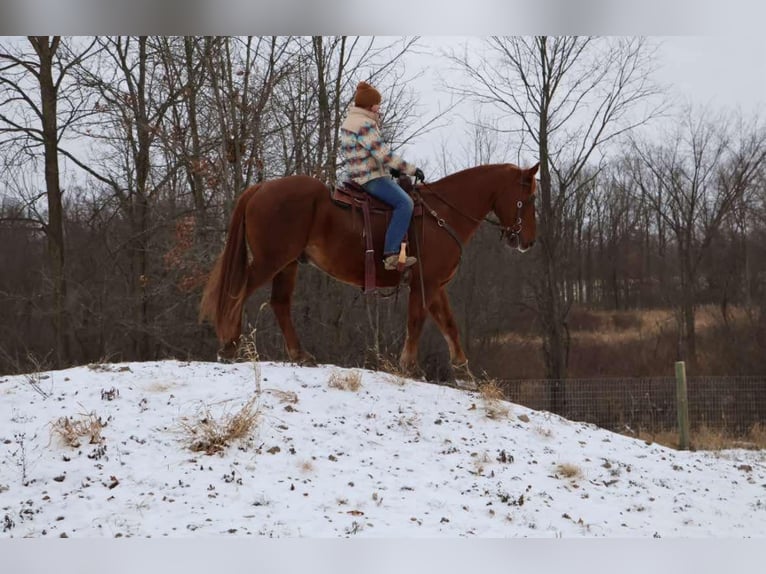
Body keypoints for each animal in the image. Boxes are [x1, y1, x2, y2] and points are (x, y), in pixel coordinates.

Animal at [201, 161, 544, 378]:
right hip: (270, 261)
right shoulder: (425, 282)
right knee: (238, 293)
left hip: (287, 265)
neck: (442, 215)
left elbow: (449, 324)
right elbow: (416, 322)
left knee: (280, 304)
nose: (528, 241)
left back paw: (300, 355)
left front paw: (463, 371)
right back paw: (229, 346)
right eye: (528, 198)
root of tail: (260, 189)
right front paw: (410, 366)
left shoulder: (435, 286)